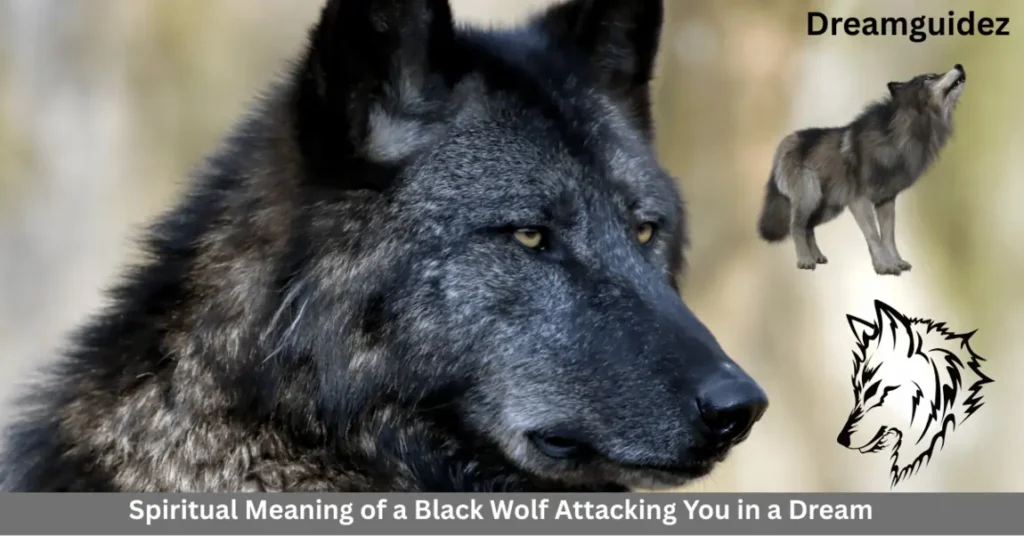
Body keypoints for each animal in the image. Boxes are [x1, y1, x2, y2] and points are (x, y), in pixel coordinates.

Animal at [757, 64, 966, 275]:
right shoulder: (860, 201)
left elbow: (889, 236)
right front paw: (884, 266)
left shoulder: (886, 200)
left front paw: (896, 262)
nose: (959, 66)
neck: (899, 135)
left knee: (809, 227)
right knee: (796, 226)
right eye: (929, 77)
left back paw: (817, 257)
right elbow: (874, 235)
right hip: (811, 197)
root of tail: (785, 142)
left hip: (829, 208)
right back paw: (805, 260)